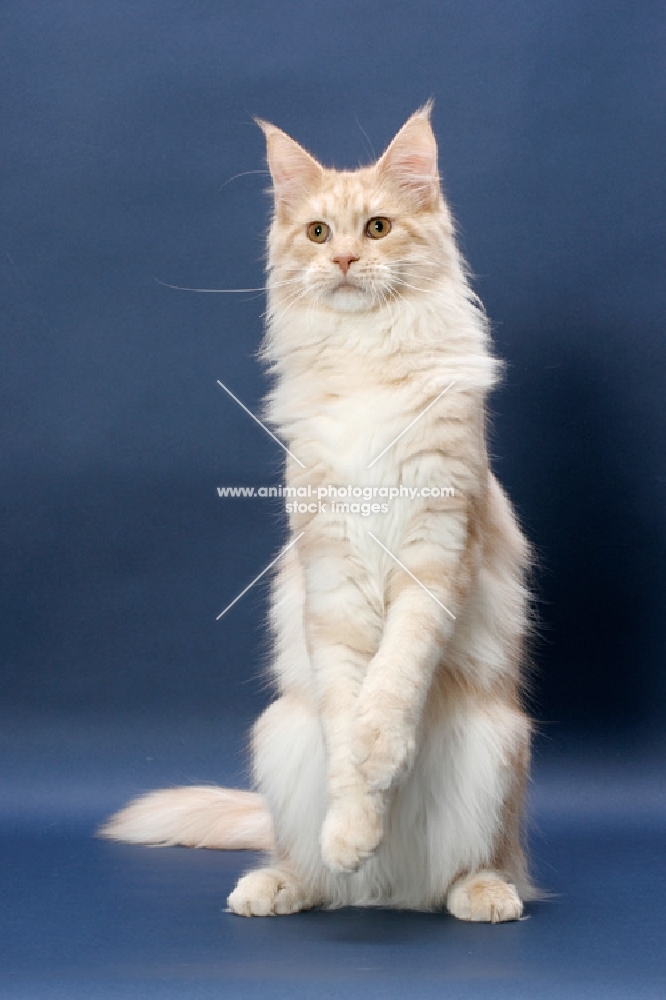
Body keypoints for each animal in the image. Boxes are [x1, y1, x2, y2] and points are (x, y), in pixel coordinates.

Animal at [100, 107, 536, 920]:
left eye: (377, 227)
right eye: (316, 233)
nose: (341, 261)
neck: (364, 358)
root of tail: (394, 897)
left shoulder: (437, 548)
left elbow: (393, 678)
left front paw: (382, 752)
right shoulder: (330, 569)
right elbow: (345, 724)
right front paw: (354, 827)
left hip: (499, 741)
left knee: (487, 861)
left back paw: (479, 894)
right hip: (278, 734)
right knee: (304, 862)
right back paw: (285, 883)